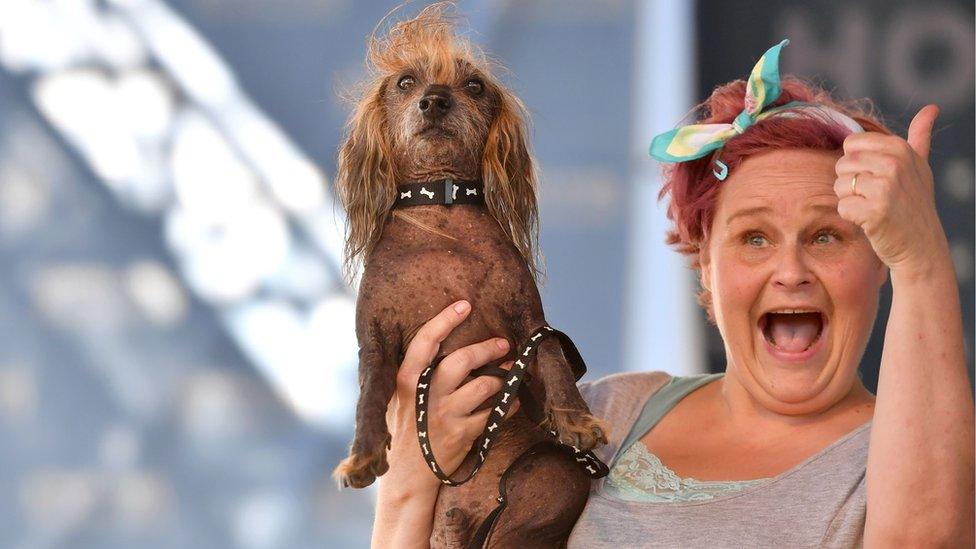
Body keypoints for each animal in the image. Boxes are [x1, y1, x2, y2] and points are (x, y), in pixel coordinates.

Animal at [338, 3, 608, 544]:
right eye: (405, 82)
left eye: (474, 86)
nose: (435, 100)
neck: (440, 207)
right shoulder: (376, 342)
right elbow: (369, 395)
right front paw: (363, 454)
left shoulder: (530, 321)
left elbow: (552, 360)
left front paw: (575, 419)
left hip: (546, 481)